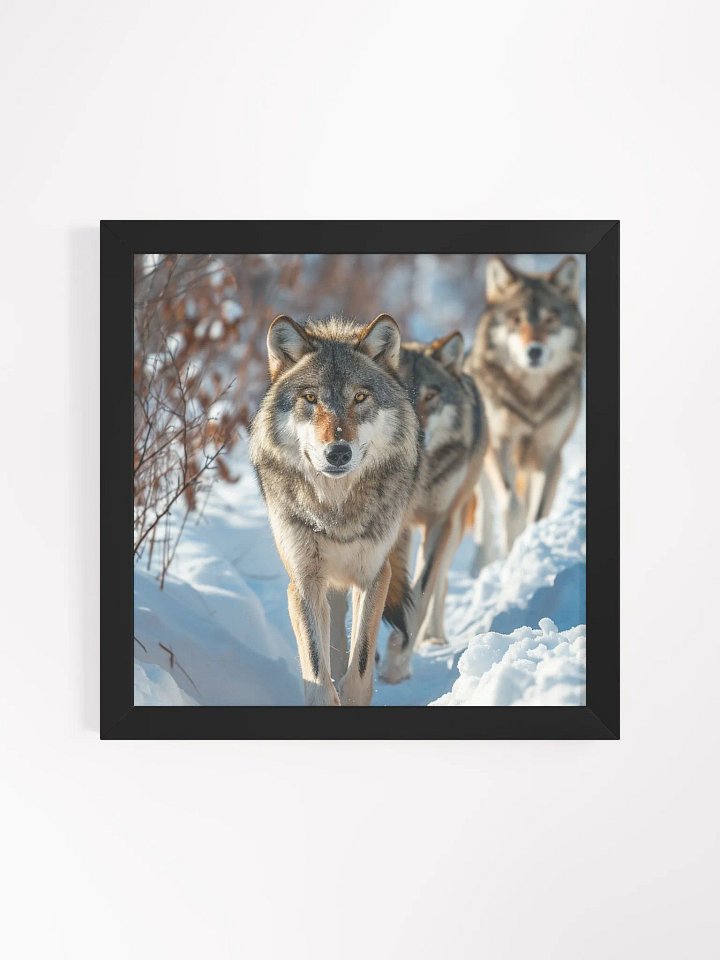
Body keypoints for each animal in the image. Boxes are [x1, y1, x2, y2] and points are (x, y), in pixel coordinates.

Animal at [249, 314, 421, 706]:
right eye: (311, 398)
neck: (336, 509)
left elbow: (359, 669)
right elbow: (317, 670)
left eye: (359, 397)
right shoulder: (304, 582)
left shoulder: (374, 576)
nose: (338, 452)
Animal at [378, 331, 487, 684]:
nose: (417, 437)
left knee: (440, 580)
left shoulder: (442, 521)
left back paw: (433, 636)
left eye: (430, 396)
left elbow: (423, 590)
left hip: (453, 523)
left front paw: (397, 662)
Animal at [465, 255, 585, 574]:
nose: (534, 351)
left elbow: (538, 511)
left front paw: (532, 548)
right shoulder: (499, 446)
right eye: (516, 320)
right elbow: (512, 504)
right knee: (486, 514)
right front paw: (514, 546)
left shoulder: (548, 453)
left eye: (550, 320)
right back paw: (479, 568)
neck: (531, 399)